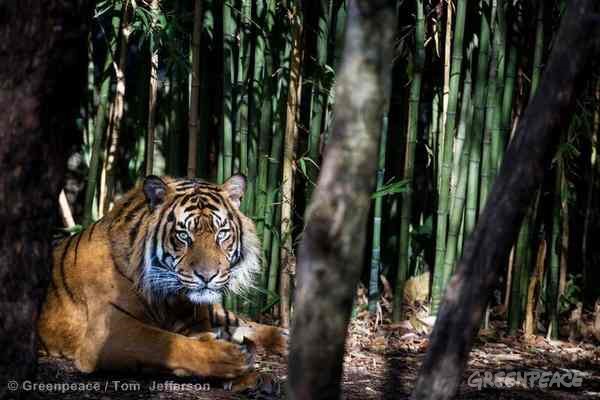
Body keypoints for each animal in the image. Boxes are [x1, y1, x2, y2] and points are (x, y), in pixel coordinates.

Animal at [38, 174, 288, 384]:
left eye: (222, 233)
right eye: (184, 235)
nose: (207, 276)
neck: (172, 299)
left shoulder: (196, 320)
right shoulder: (108, 332)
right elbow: (167, 342)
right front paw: (230, 358)